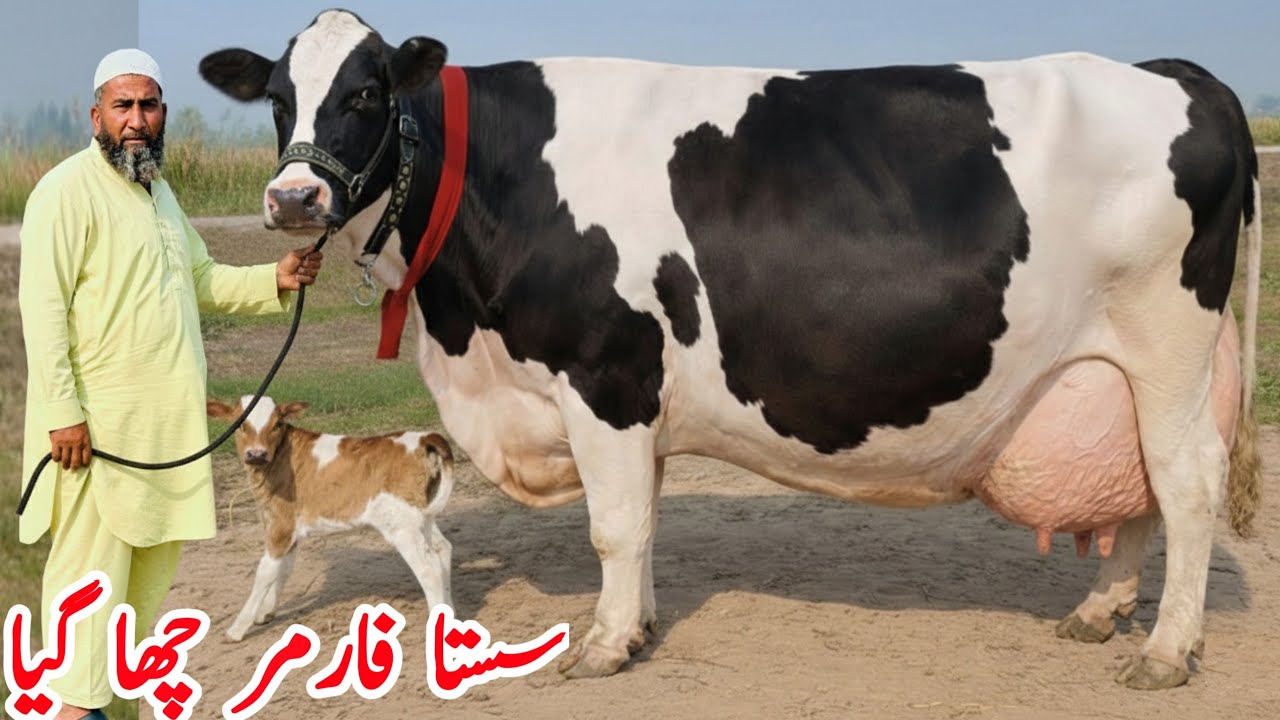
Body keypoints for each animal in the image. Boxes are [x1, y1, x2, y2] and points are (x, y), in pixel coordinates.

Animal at [199, 8, 1262, 689]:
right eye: (279, 100)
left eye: (368, 92)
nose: (292, 199)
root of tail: (1172, 71)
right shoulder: (636, 399)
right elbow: (645, 521)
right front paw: (639, 627)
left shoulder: (607, 374)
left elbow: (614, 527)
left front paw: (603, 646)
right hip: (1111, 369)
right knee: (1137, 491)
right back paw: (1100, 613)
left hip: (1167, 344)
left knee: (1185, 485)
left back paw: (1165, 653)